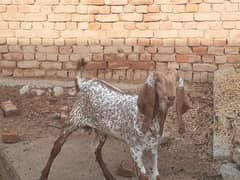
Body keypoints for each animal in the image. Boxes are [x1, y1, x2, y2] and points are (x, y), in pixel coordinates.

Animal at [39, 60, 191, 180]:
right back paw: (44, 175)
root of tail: (84, 83)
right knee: (56, 147)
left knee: (97, 152)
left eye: (176, 80)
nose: (171, 97)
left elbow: (156, 175)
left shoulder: (153, 149)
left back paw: (109, 176)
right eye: (158, 81)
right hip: (74, 120)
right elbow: (143, 176)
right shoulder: (135, 149)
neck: (151, 119)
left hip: (102, 130)